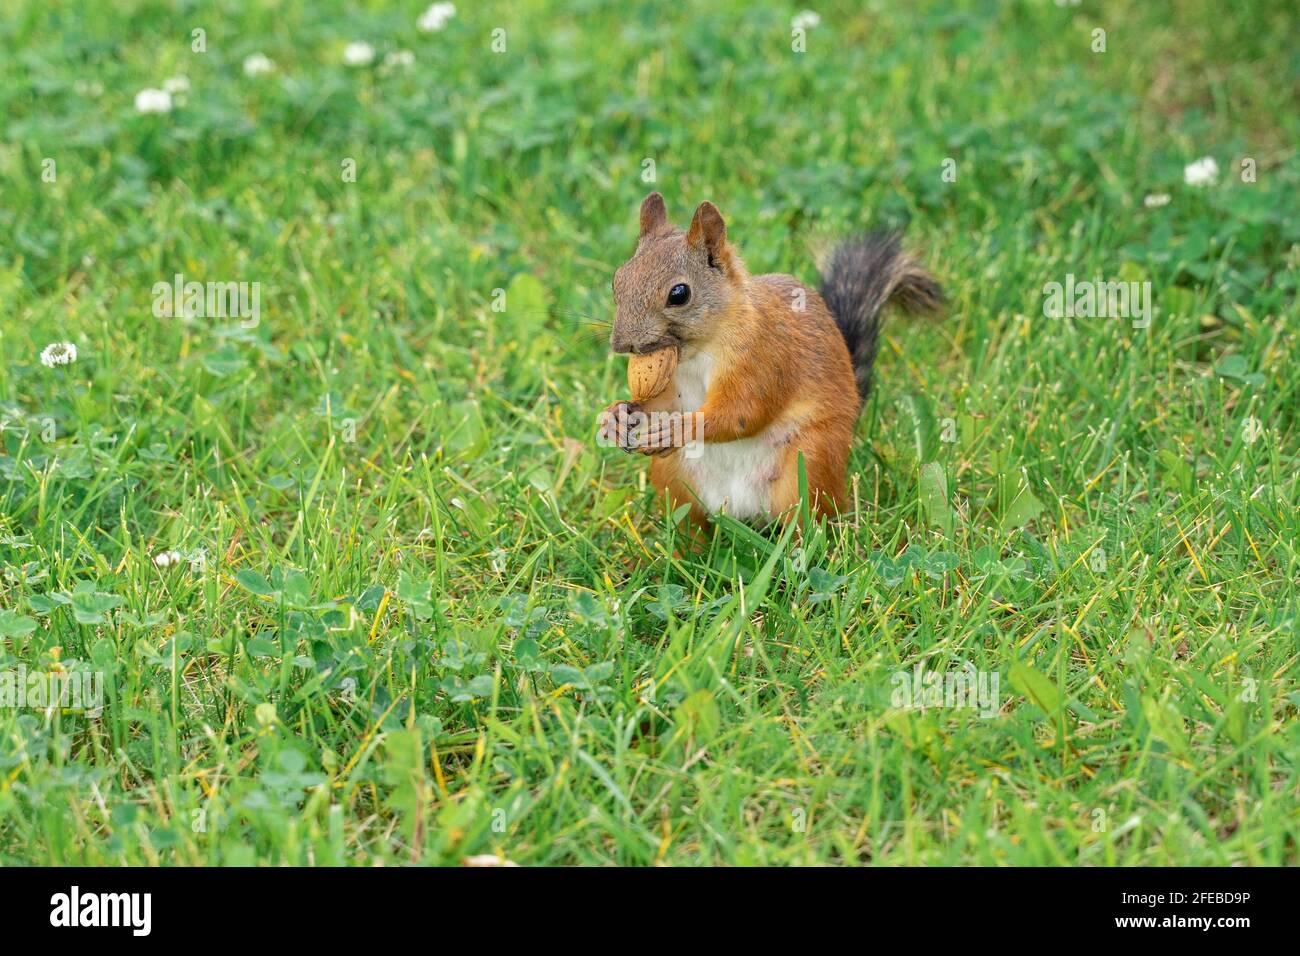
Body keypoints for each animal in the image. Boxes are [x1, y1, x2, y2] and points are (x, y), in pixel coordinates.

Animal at [598, 191, 941, 527]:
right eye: (618, 280)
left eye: (679, 294)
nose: (621, 344)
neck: (699, 353)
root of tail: (739, 509)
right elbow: (663, 404)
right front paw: (616, 415)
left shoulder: (765, 357)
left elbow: (743, 412)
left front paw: (681, 428)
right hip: (674, 477)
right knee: (688, 522)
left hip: (810, 461)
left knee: (809, 521)